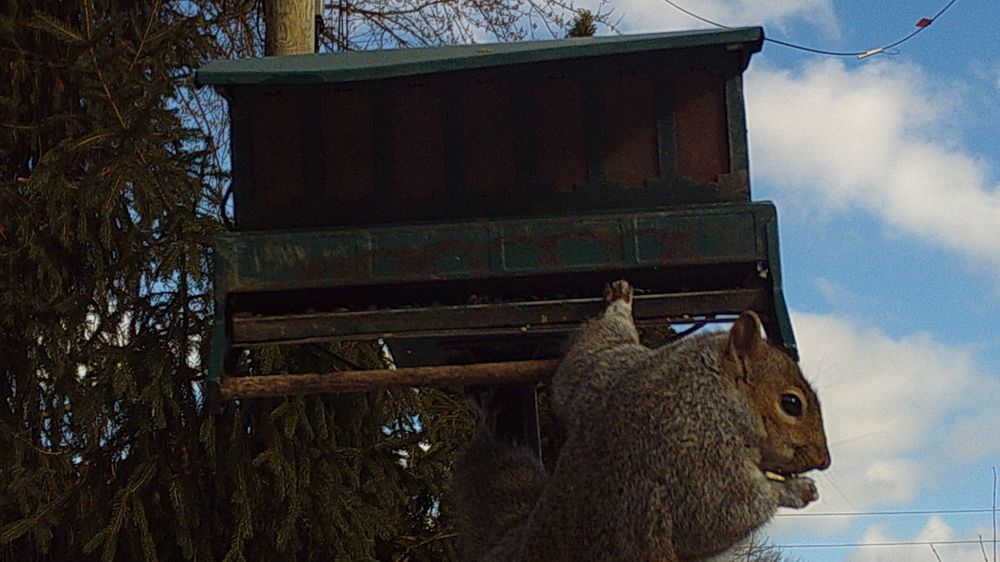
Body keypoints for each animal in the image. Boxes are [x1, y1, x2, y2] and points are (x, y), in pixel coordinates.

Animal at [451, 280, 831, 561]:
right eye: (791, 404)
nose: (824, 461)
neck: (711, 386)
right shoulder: (701, 452)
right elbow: (721, 515)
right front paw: (796, 490)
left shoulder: (609, 377)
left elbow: (591, 356)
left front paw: (618, 302)